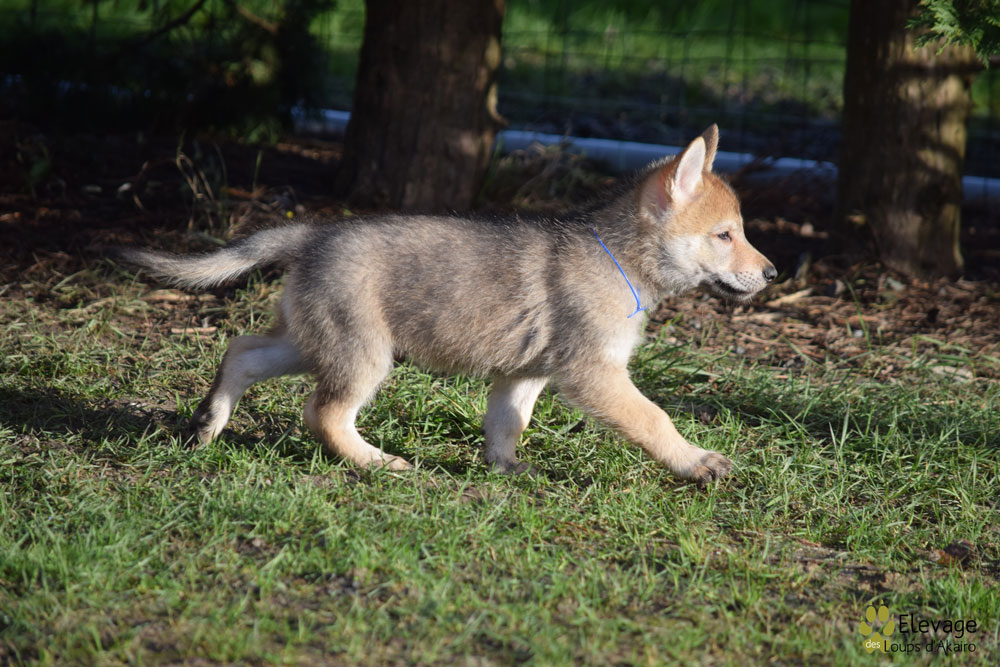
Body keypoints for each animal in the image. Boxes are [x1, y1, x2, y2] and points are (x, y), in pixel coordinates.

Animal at [118, 125, 776, 484]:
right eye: (725, 235)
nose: (771, 273)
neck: (618, 259)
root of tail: (312, 235)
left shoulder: (524, 376)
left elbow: (508, 425)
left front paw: (505, 470)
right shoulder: (596, 376)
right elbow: (656, 419)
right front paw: (696, 463)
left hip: (312, 344)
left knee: (242, 352)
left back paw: (207, 426)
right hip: (364, 357)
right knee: (323, 413)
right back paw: (378, 463)